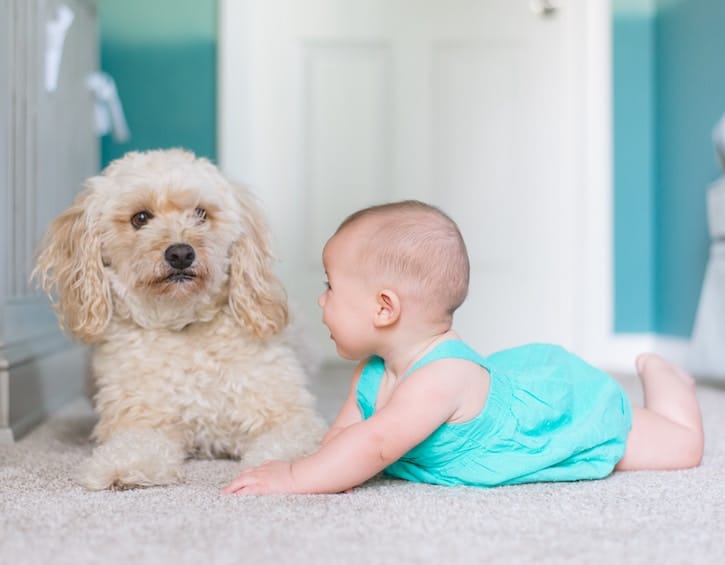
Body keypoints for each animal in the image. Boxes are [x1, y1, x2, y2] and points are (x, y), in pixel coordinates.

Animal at [34, 149, 326, 490]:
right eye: (140, 218)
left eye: (201, 213)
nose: (181, 254)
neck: (183, 325)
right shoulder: (141, 420)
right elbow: (135, 445)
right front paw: (122, 467)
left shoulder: (289, 416)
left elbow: (287, 443)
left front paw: (277, 470)